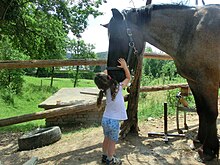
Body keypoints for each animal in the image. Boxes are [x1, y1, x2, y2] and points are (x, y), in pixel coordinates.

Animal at [103, 3, 220, 162]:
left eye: (118, 37)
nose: (112, 75)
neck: (190, 30)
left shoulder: (208, 83)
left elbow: (211, 113)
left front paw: (208, 150)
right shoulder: (194, 82)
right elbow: (201, 110)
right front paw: (199, 140)